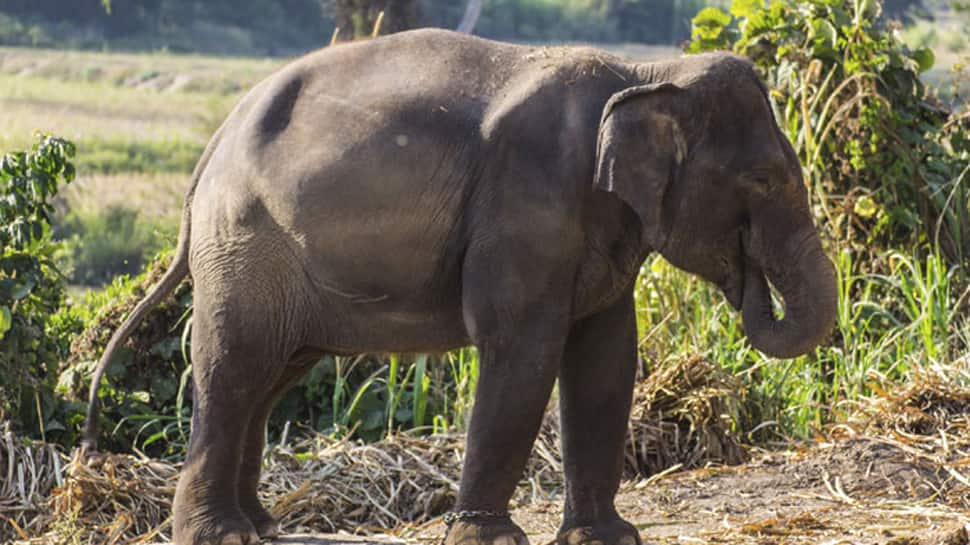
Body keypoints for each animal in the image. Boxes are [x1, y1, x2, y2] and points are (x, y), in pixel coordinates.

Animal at [83, 28, 836, 544]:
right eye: (762, 179)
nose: (746, 281)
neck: (645, 74)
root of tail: (210, 151)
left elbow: (606, 356)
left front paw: (609, 538)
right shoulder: (527, 198)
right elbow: (522, 347)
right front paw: (491, 539)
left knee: (270, 374)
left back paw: (262, 525)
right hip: (244, 244)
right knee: (233, 364)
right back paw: (223, 534)